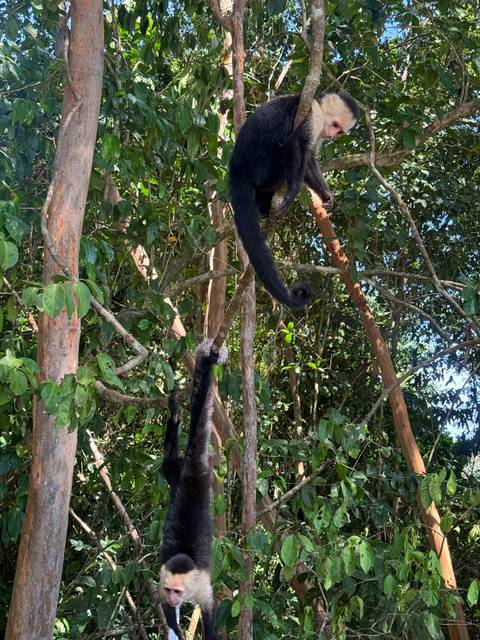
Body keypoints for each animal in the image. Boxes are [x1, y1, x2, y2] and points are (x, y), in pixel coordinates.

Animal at [229, 92, 360, 308]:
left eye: (339, 130)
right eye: (334, 125)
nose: (332, 135)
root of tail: (236, 168)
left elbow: (309, 161)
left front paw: (326, 194)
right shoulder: (313, 114)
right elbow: (294, 144)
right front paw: (293, 191)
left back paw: (265, 208)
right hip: (262, 166)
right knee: (284, 143)